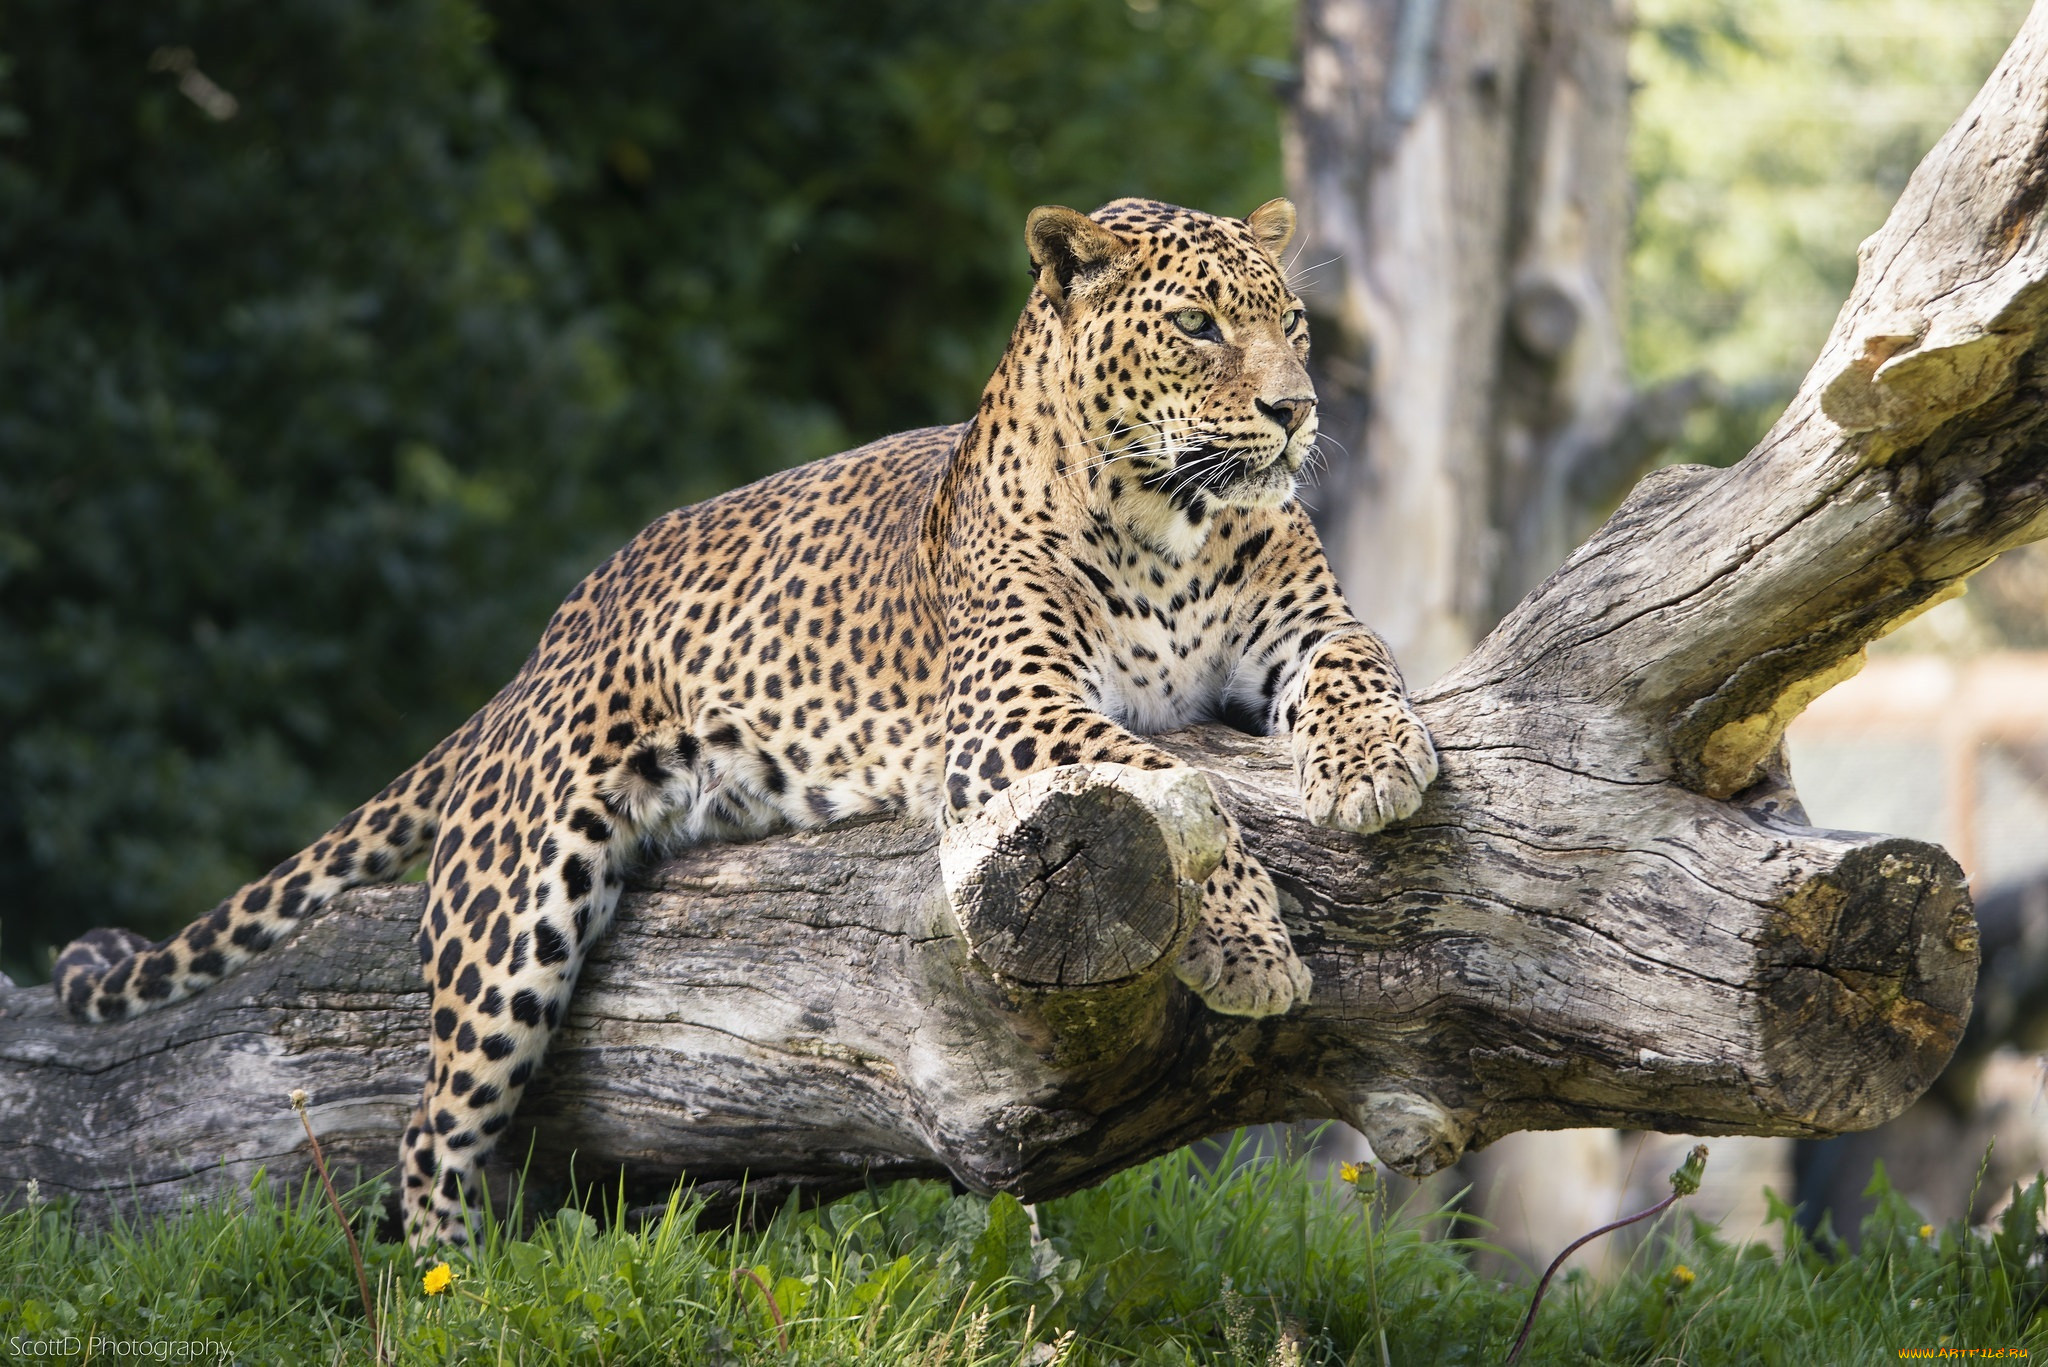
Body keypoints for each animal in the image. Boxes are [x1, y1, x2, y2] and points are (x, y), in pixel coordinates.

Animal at [59, 194, 1441, 1254]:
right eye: (1198, 326)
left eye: (1292, 322)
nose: (1296, 411)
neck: (1172, 523)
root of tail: (544, 642)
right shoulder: (1013, 713)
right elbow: (1173, 782)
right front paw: (1251, 947)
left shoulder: (1304, 629)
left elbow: (1361, 667)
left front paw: (1377, 766)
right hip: (516, 911)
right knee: (429, 1130)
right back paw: (464, 1293)